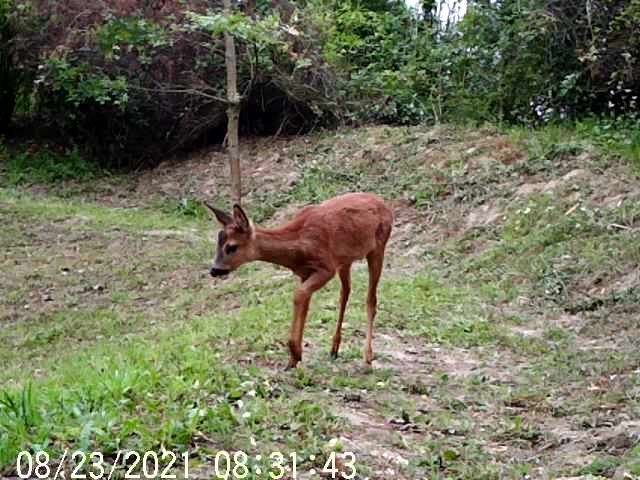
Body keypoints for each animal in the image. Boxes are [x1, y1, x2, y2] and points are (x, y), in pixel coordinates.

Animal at [208, 193, 392, 370]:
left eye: (231, 246)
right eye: (217, 244)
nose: (214, 270)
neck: (299, 243)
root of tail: (385, 205)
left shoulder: (326, 267)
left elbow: (299, 294)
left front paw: (295, 353)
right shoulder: (305, 273)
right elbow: (304, 303)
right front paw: (293, 359)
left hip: (378, 247)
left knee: (371, 299)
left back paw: (367, 359)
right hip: (345, 259)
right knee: (345, 293)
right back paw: (334, 349)